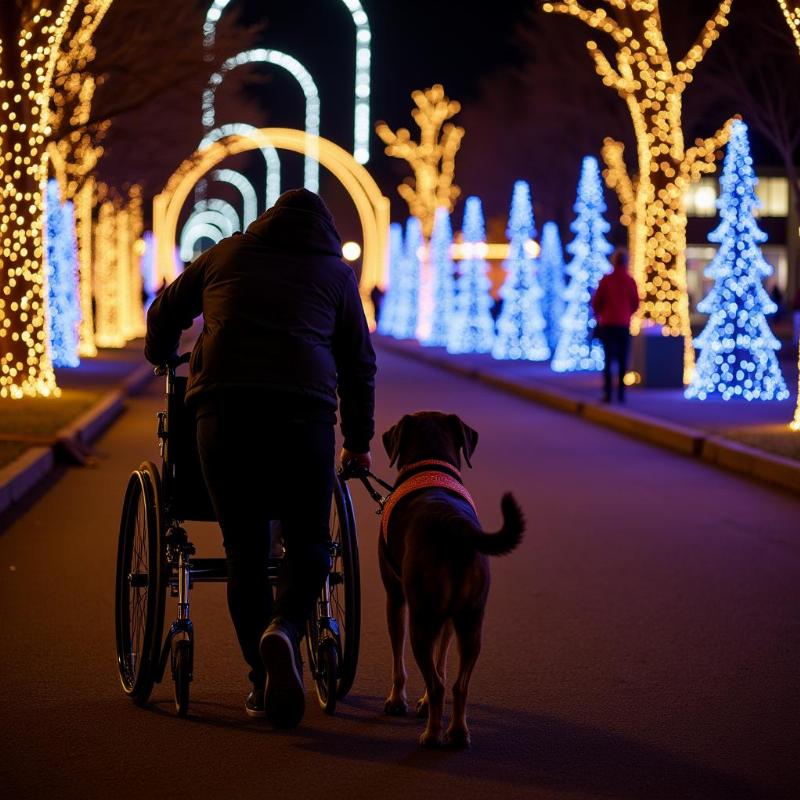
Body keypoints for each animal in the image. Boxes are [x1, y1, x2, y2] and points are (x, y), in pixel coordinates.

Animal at [380, 412, 524, 752]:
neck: (431, 464)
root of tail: (454, 524)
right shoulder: (447, 619)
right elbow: (442, 661)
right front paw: (421, 703)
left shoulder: (396, 598)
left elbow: (399, 659)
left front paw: (398, 700)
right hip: (470, 621)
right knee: (458, 685)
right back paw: (457, 732)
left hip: (422, 621)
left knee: (437, 686)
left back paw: (433, 735)